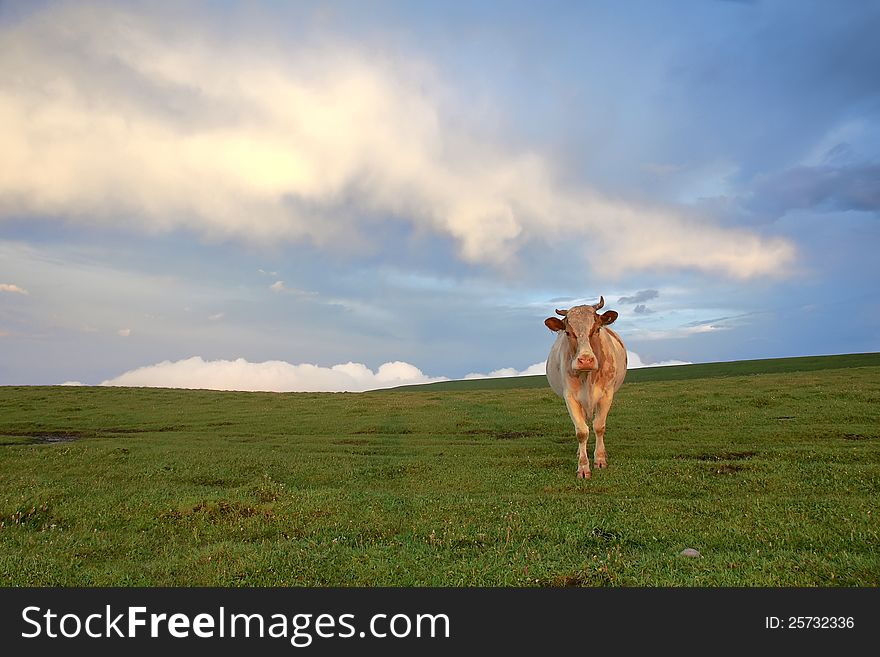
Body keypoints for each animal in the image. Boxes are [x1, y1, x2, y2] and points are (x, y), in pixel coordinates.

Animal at [544, 298, 624, 476]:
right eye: (568, 332)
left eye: (597, 329)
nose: (585, 360)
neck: (587, 378)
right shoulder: (570, 397)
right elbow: (581, 432)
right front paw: (583, 467)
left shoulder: (607, 395)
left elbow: (599, 427)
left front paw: (600, 459)